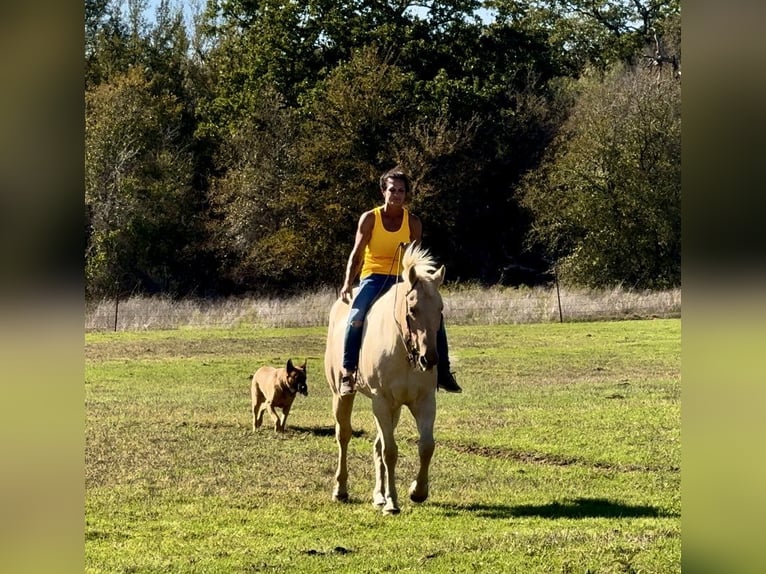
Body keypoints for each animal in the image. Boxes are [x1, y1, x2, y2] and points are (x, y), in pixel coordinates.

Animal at [322, 243, 444, 516]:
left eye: (440, 310)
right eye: (413, 309)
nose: (429, 359)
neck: (403, 349)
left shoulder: (423, 401)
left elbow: (426, 446)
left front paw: (417, 492)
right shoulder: (381, 401)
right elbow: (390, 451)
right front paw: (393, 502)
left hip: (394, 408)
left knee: (377, 444)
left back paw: (378, 495)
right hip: (342, 396)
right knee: (343, 435)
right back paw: (341, 490)